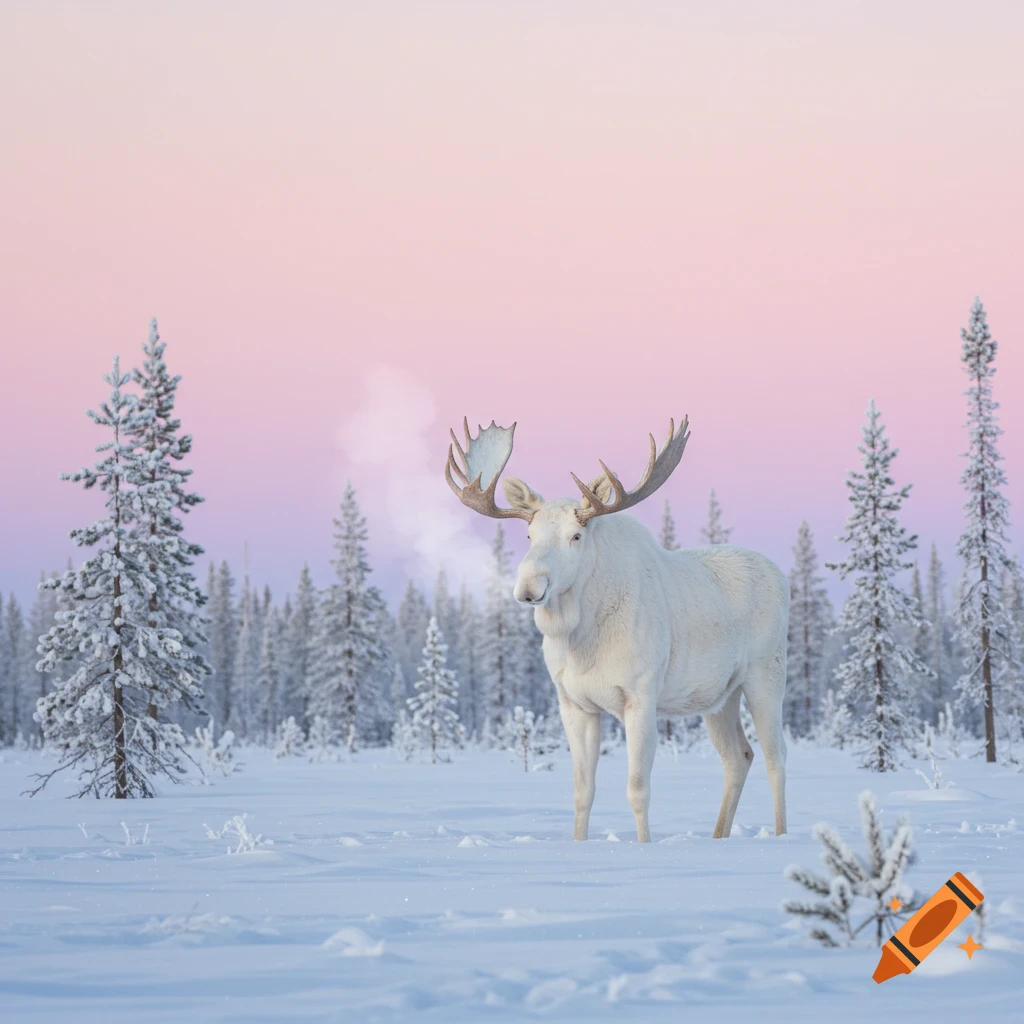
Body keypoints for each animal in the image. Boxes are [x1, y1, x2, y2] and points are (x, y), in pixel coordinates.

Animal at [445, 417, 789, 843]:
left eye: (576, 536)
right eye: (528, 536)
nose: (528, 587)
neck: (581, 638)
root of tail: (782, 576)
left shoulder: (640, 696)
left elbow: (637, 789)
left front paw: (643, 845)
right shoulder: (575, 704)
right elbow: (582, 791)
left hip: (765, 676)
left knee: (776, 757)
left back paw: (780, 835)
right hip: (719, 697)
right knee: (739, 756)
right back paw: (718, 836)